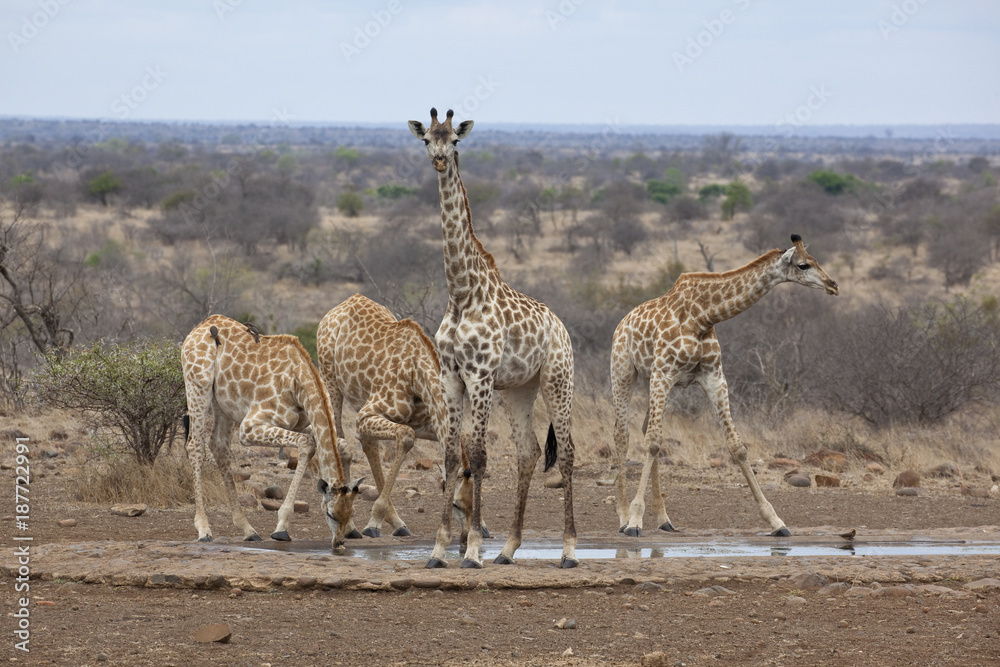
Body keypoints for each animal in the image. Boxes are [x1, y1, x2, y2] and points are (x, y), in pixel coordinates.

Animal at [181, 315, 363, 550]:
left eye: (350, 511)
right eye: (330, 514)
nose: (338, 543)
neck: (297, 383)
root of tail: (202, 325)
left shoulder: (300, 423)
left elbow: (342, 446)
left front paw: (353, 529)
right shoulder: (249, 427)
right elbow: (307, 444)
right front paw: (281, 528)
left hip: (223, 403)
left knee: (219, 446)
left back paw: (248, 530)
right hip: (197, 384)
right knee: (195, 446)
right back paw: (204, 530)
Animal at [316, 293, 482, 541]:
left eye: (474, 506)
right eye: (456, 505)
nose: (464, 539)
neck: (416, 374)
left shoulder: (427, 425)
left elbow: (457, 438)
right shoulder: (367, 415)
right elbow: (405, 437)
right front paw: (373, 521)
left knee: (367, 444)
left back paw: (392, 522)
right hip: (330, 381)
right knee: (342, 443)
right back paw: (352, 526)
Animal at [409, 108, 578, 569]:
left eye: (455, 141)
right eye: (427, 139)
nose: (440, 160)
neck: (462, 292)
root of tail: (562, 327)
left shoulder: (480, 376)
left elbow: (480, 457)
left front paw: (471, 550)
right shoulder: (451, 376)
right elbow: (453, 456)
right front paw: (438, 550)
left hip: (558, 380)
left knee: (567, 453)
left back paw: (569, 550)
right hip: (520, 390)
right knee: (529, 453)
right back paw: (508, 548)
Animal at [610, 235, 839, 537]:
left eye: (815, 260)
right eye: (803, 265)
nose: (833, 285)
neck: (703, 316)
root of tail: (622, 322)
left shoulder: (714, 377)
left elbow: (737, 446)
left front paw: (776, 521)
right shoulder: (664, 372)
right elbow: (652, 443)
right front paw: (635, 520)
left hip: (655, 381)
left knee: (647, 428)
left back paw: (664, 519)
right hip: (625, 371)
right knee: (622, 434)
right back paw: (624, 518)